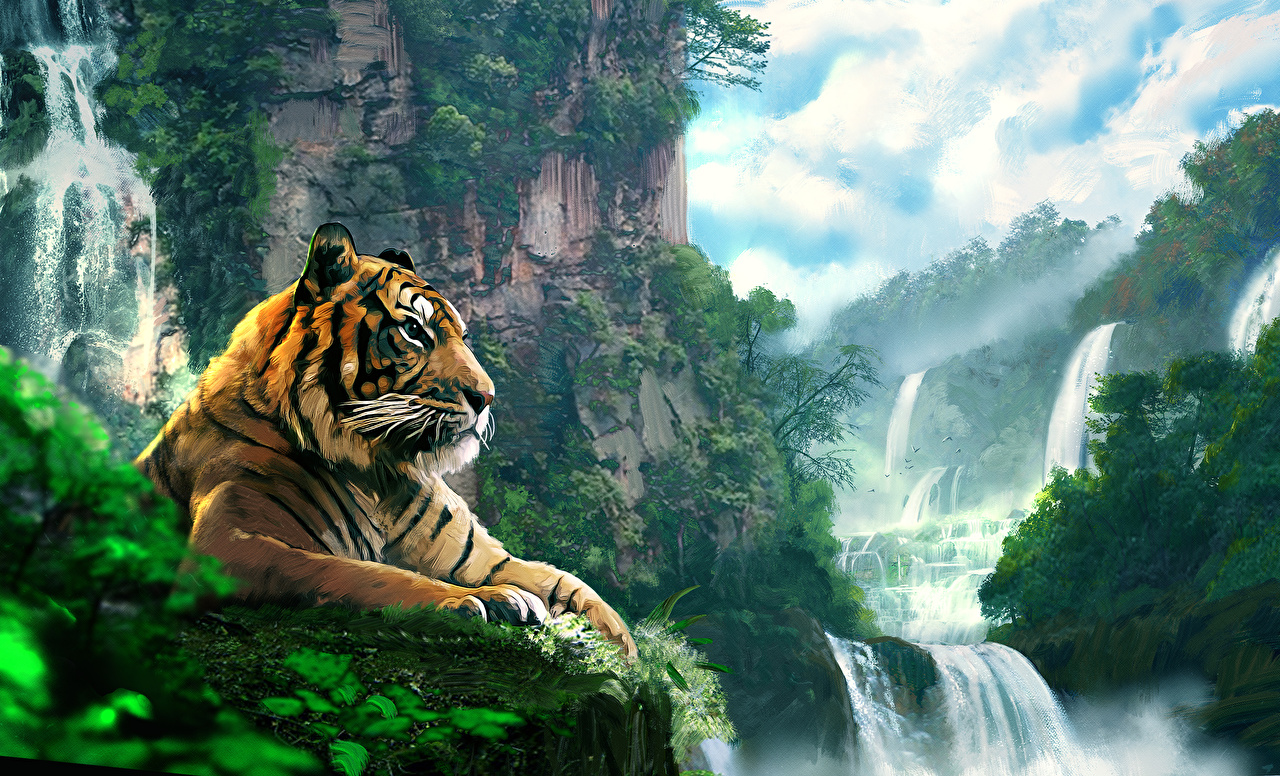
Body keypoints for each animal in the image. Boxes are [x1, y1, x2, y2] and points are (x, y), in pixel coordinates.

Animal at [135, 222, 636, 657]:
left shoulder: (477, 557)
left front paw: (625, 648)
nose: (487, 396)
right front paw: (474, 601)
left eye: (463, 335)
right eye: (414, 330)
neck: (379, 470)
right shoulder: (230, 544)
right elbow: (360, 573)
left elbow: (565, 582)